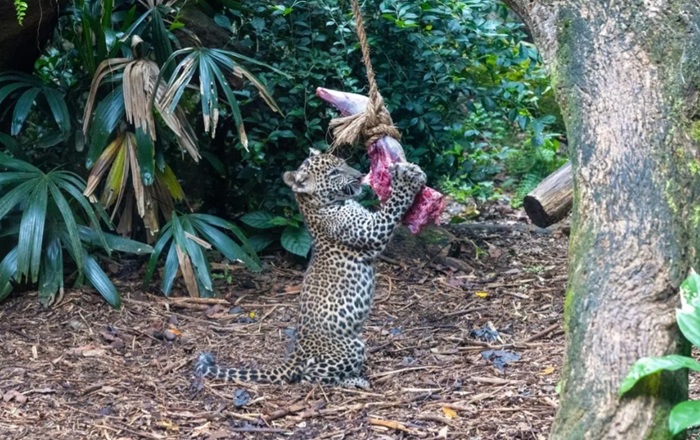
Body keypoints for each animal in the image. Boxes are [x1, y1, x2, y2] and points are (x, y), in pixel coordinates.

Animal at [195, 149, 426, 388]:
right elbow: (392, 206)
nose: (360, 175)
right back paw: (354, 381)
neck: (317, 208)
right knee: (310, 379)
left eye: (343, 164)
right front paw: (407, 179)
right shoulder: (371, 230)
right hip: (351, 346)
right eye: (334, 173)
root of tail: (295, 355)